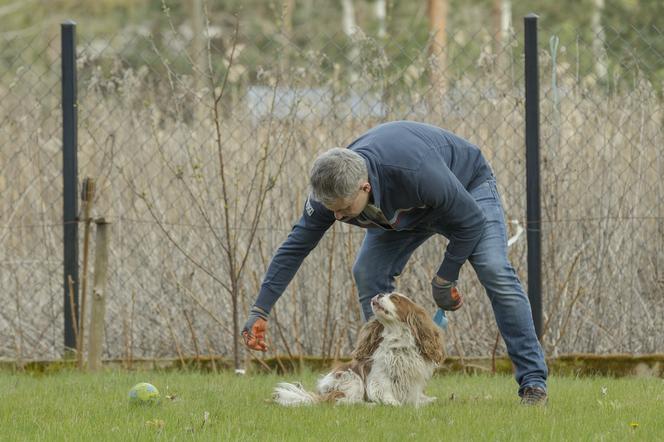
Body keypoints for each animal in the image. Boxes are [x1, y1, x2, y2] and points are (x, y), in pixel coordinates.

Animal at [272, 294, 444, 408]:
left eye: (395, 298)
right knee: (339, 400)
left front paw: (424, 401)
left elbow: (415, 397)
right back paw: (366, 405)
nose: (379, 294)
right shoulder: (379, 378)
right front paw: (393, 403)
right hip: (351, 378)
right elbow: (385, 392)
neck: (397, 341)